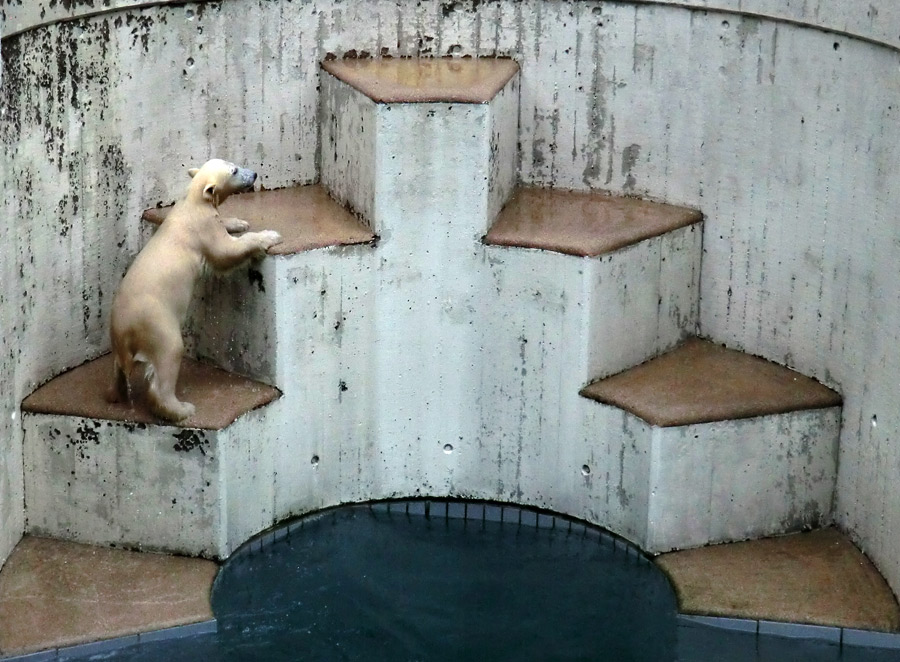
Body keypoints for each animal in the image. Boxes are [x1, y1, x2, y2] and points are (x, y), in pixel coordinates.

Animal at [106, 158, 282, 422]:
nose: (254, 174)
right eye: (234, 171)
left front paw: (237, 222)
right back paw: (179, 409)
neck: (193, 201)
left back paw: (115, 393)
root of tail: (123, 329)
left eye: (233, 163)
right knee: (168, 356)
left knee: (118, 365)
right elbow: (224, 252)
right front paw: (269, 236)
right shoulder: (202, 227)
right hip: (156, 321)